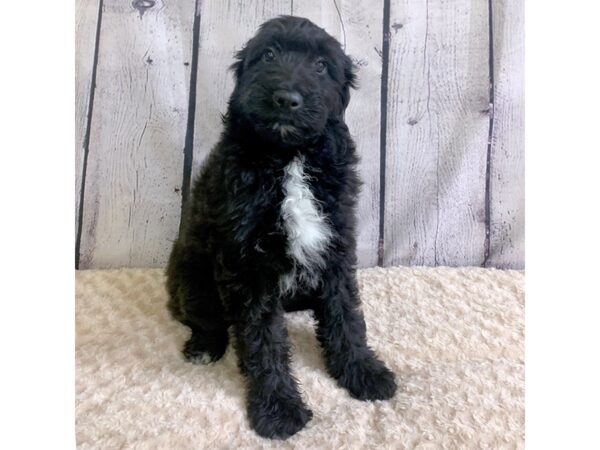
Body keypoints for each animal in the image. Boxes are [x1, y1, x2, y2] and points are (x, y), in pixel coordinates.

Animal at [166, 14, 396, 440]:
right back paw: (204, 346)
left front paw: (363, 372)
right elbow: (263, 339)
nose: (287, 99)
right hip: (191, 277)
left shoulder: (335, 242)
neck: (290, 156)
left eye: (321, 66)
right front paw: (277, 409)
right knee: (207, 318)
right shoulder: (248, 265)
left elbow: (346, 315)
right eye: (268, 55)